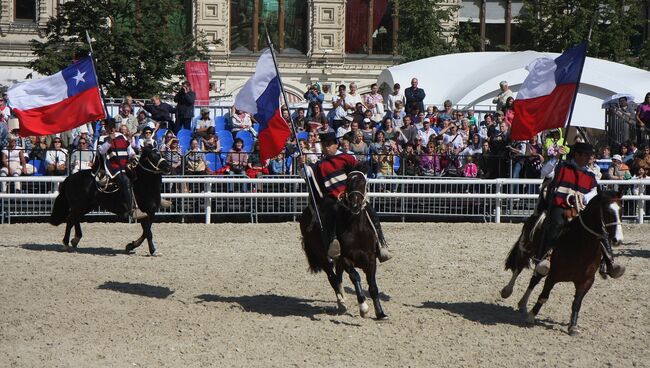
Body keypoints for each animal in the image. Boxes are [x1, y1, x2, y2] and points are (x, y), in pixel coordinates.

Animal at [300, 164, 388, 320]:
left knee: (338, 277)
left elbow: (372, 286)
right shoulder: (345, 258)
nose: (355, 205)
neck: (357, 231)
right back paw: (341, 302)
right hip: (324, 258)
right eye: (348, 183)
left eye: (363, 183)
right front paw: (364, 308)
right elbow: (355, 277)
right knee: (332, 278)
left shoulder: (371, 258)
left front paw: (380, 313)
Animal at [496, 191, 624, 334]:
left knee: (534, 280)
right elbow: (544, 296)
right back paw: (507, 291)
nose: (617, 239)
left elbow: (577, 303)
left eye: (621, 210)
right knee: (518, 269)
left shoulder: (587, 281)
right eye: (607, 211)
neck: (580, 247)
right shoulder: (553, 276)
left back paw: (523, 304)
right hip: (526, 249)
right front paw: (531, 316)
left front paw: (573, 326)